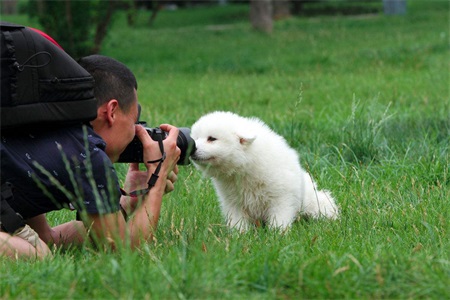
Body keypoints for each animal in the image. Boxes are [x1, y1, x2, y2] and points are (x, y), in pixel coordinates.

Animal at [190, 111, 338, 231]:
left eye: (212, 138)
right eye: (196, 138)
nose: (192, 149)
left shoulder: (281, 196)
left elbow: (279, 216)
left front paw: (278, 234)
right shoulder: (232, 200)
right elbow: (237, 220)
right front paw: (239, 236)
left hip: (314, 202)